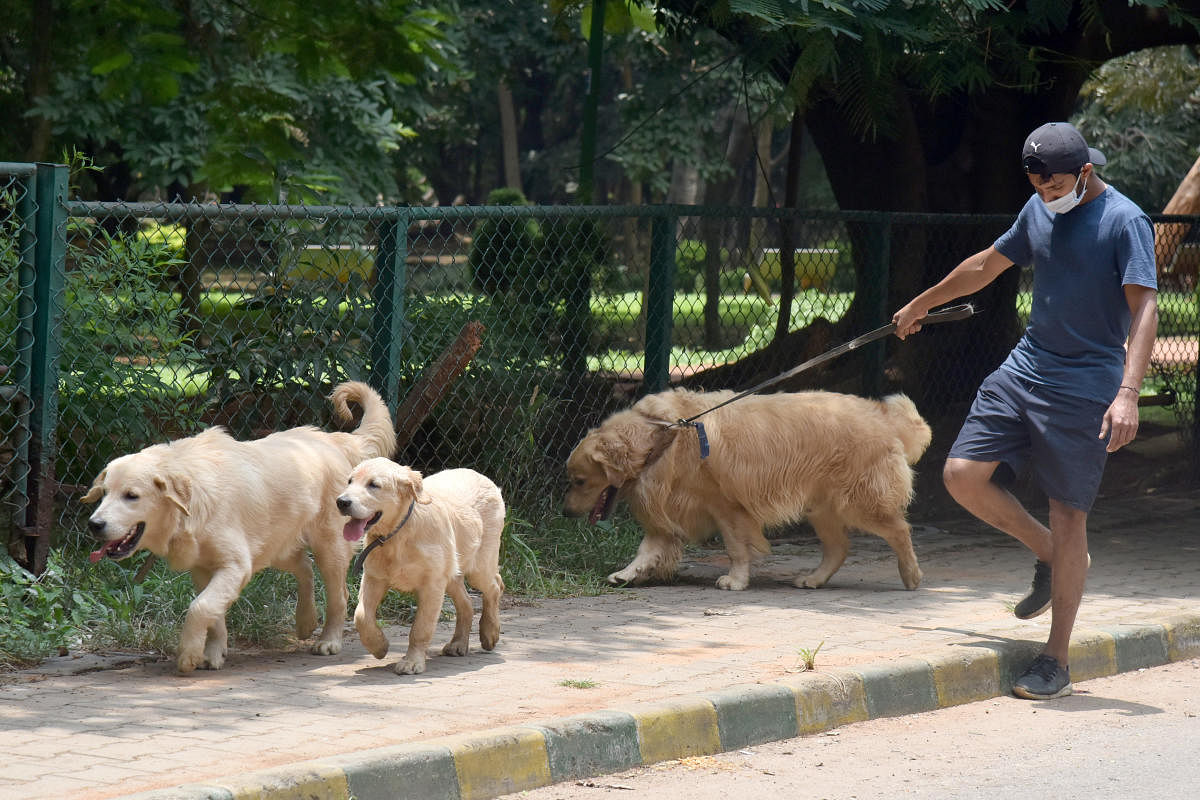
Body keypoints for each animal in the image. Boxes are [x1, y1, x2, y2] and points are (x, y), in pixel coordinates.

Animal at [84, 383, 393, 671]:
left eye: (131, 496)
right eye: (104, 493)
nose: (94, 525)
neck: (194, 503)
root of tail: (331, 439)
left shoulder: (235, 566)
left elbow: (200, 608)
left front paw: (189, 654)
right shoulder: (204, 569)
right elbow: (213, 616)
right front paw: (212, 653)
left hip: (329, 548)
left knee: (338, 595)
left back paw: (329, 640)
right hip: (275, 546)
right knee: (305, 569)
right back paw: (305, 621)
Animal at [338, 455, 506, 676]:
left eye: (374, 485)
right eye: (349, 481)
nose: (341, 502)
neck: (397, 535)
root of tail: (481, 476)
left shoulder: (432, 584)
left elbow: (421, 628)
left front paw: (411, 662)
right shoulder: (374, 577)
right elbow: (361, 616)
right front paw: (379, 646)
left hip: (479, 566)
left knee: (495, 586)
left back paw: (490, 632)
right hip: (452, 572)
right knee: (467, 602)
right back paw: (458, 644)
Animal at [556, 391, 931, 592]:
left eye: (579, 481)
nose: (565, 512)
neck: (663, 438)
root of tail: (884, 417)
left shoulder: (726, 506)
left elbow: (736, 548)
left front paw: (736, 580)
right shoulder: (673, 512)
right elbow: (648, 549)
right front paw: (627, 573)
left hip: (860, 502)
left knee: (899, 530)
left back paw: (911, 575)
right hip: (821, 507)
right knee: (839, 548)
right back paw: (814, 578)